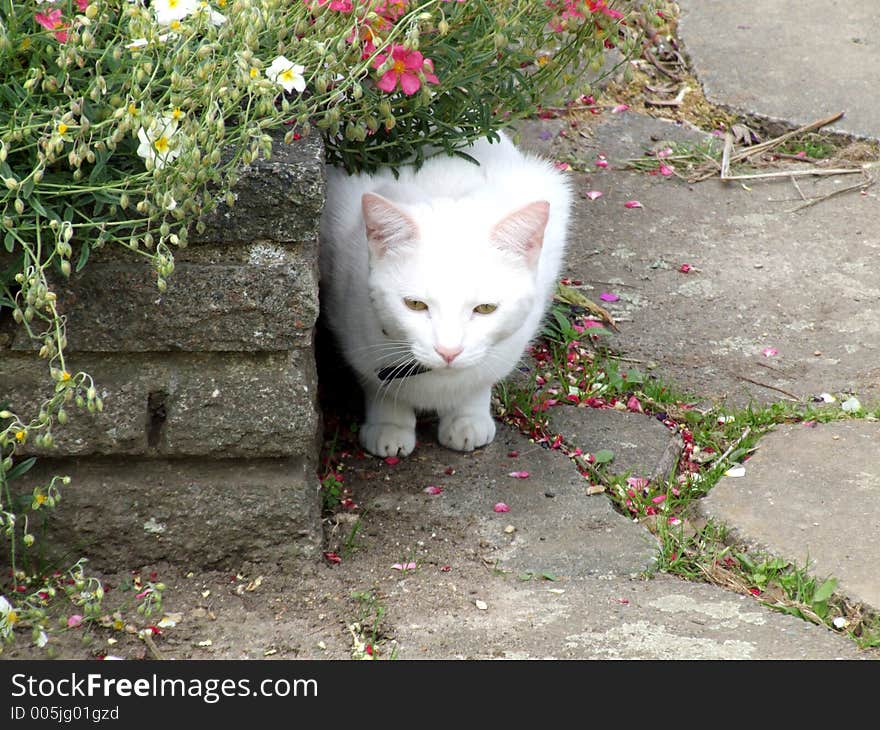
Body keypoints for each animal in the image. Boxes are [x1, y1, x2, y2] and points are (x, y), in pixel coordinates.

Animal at [316, 128, 572, 452]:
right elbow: (378, 385)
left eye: (485, 309)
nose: (449, 351)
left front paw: (468, 417)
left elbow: (479, 380)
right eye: (415, 304)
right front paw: (389, 424)